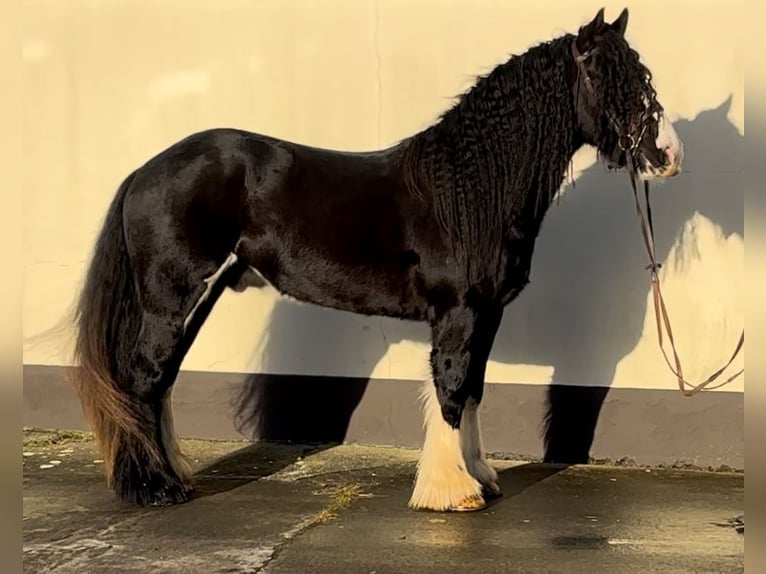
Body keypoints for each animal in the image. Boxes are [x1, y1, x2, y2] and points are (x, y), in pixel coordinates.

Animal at [70, 7, 684, 512]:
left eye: (642, 77)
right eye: (610, 78)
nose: (668, 155)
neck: (467, 190)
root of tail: (146, 170)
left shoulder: (487, 314)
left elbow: (474, 390)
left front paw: (481, 478)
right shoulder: (459, 312)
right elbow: (451, 388)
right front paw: (452, 492)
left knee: (160, 382)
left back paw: (172, 476)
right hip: (171, 298)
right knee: (144, 379)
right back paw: (154, 488)